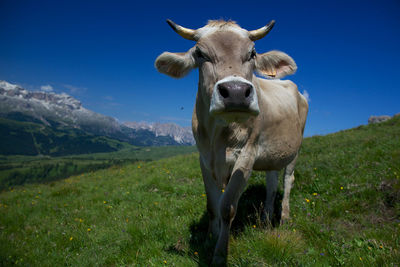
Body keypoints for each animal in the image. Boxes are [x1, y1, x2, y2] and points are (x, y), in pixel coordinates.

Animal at [155, 18, 308, 266]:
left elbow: (227, 207)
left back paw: (284, 218)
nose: (236, 92)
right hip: (272, 155)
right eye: (200, 53)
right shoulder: (204, 158)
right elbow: (212, 205)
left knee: (288, 180)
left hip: (295, 149)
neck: (218, 137)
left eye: (252, 53)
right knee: (272, 182)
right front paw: (210, 239)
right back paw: (266, 218)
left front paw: (219, 254)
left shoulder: (246, 155)